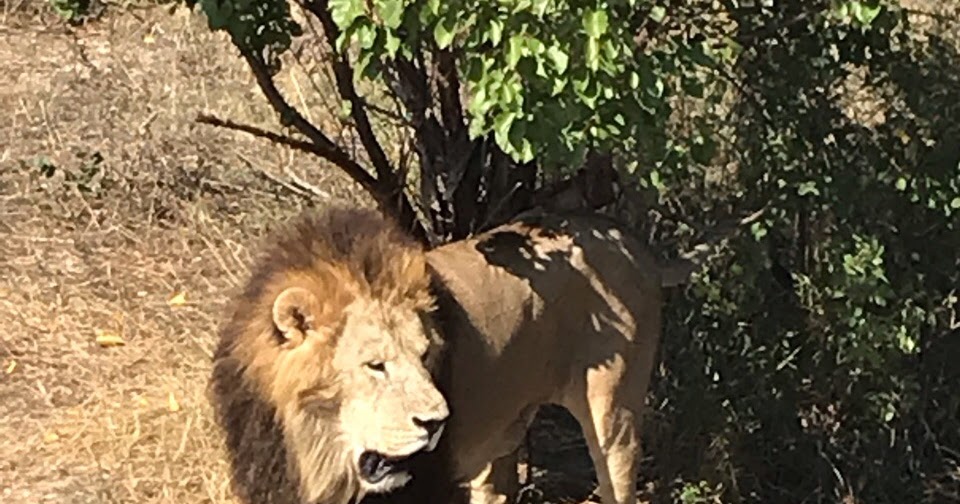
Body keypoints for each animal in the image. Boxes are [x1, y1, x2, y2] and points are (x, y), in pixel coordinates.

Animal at [210, 205, 688, 504]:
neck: (314, 447)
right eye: (375, 366)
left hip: (612, 413)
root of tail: (633, 244)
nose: (438, 423)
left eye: (426, 357)